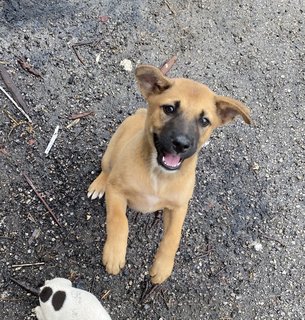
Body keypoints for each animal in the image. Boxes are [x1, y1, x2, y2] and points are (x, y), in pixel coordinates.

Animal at [87, 64, 249, 282]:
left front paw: (162, 266)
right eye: (169, 109)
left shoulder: (178, 207)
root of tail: (139, 112)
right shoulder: (116, 190)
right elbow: (119, 221)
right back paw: (98, 184)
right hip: (110, 152)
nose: (181, 144)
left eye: (204, 121)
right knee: (106, 169)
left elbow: (173, 236)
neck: (159, 175)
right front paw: (114, 254)